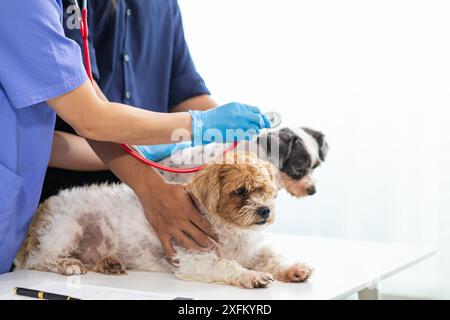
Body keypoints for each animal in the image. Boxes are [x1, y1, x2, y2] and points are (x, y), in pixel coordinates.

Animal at [13, 152, 310, 288]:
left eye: (265, 190)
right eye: (240, 191)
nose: (265, 211)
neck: (229, 229)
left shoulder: (252, 250)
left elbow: (272, 257)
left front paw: (293, 269)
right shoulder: (195, 259)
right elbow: (228, 265)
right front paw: (252, 276)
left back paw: (109, 264)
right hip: (66, 230)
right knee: (41, 259)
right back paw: (69, 265)